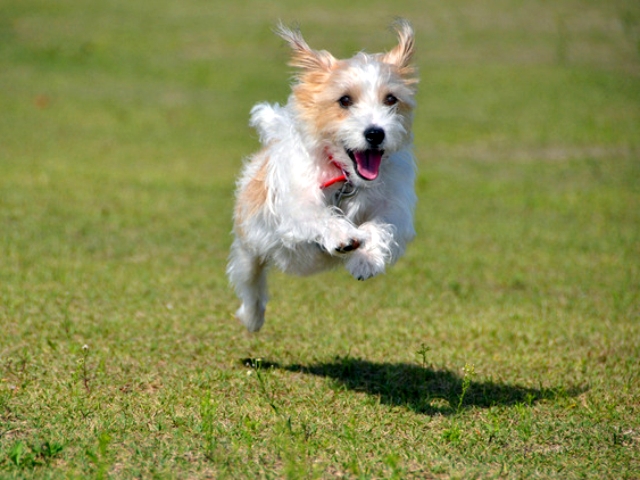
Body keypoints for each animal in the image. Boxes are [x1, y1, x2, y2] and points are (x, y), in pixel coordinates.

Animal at [228, 20, 418, 332]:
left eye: (391, 99)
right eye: (344, 100)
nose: (375, 133)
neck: (347, 179)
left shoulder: (396, 209)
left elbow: (379, 226)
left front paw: (365, 259)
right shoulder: (297, 206)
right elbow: (319, 216)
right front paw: (342, 235)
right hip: (249, 248)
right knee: (251, 283)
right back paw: (252, 317)